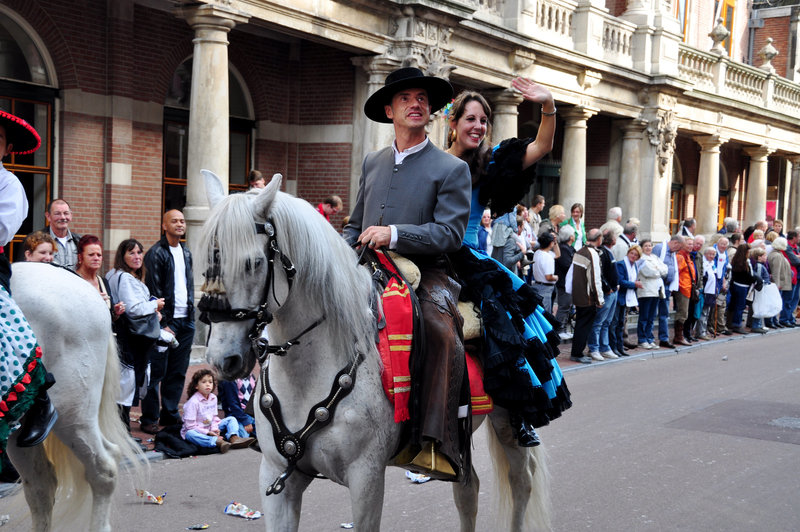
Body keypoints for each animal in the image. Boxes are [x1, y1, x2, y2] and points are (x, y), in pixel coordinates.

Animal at [198, 172, 552, 528]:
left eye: (253, 263)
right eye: (205, 264)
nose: (222, 358)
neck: (309, 373)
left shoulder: (365, 478)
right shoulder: (278, 476)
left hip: (507, 423)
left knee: (522, 482)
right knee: (468, 489)